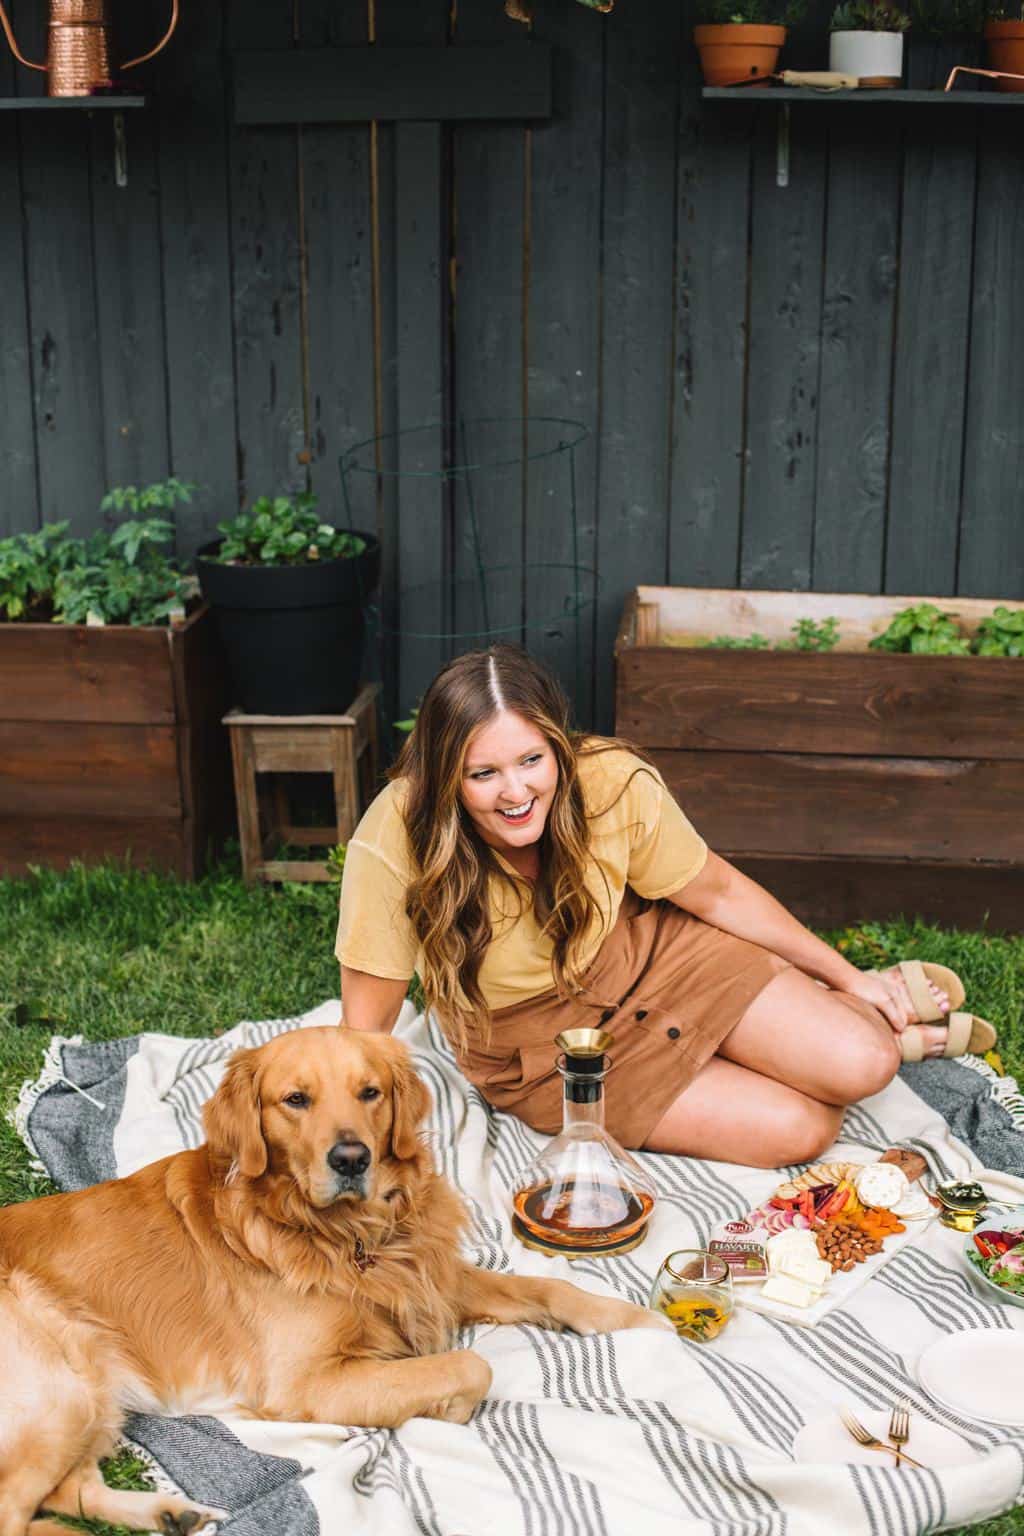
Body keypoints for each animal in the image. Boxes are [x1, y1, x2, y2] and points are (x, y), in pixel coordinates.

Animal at [0, 1026, 666, 1529]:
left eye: (370, 1093)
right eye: (295, 1100)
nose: (351, 1158)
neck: (348, 1237)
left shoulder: (431, 1279)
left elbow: (550, 1287)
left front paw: (635, 1321)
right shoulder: (307, 1384)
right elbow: (469, 1364)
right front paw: (441, 1412)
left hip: (90, 1399)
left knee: (67, 1491)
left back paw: (171, 1513)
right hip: (60, 1390)